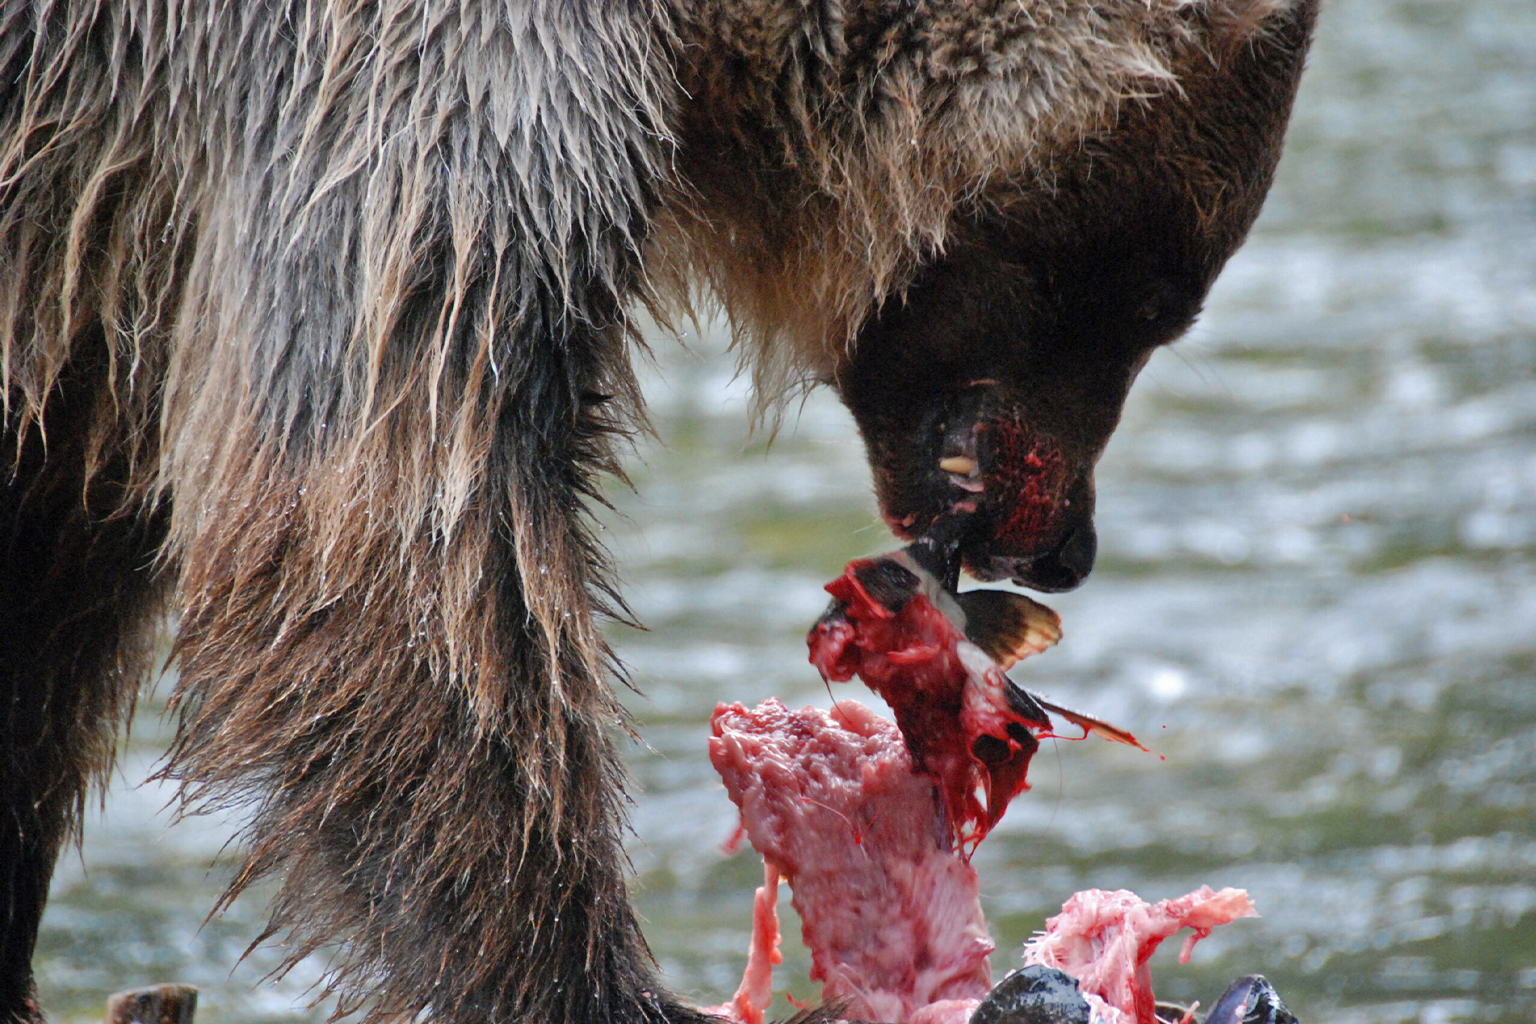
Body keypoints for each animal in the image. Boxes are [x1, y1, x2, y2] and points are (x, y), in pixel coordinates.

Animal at [6, 2, 1314, 1024]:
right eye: (1149, 288)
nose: (1064, 547)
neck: (700, 40)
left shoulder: (98, 258)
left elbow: (61, 572)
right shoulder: (402, 95)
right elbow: (389, 540)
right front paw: (605, 980)